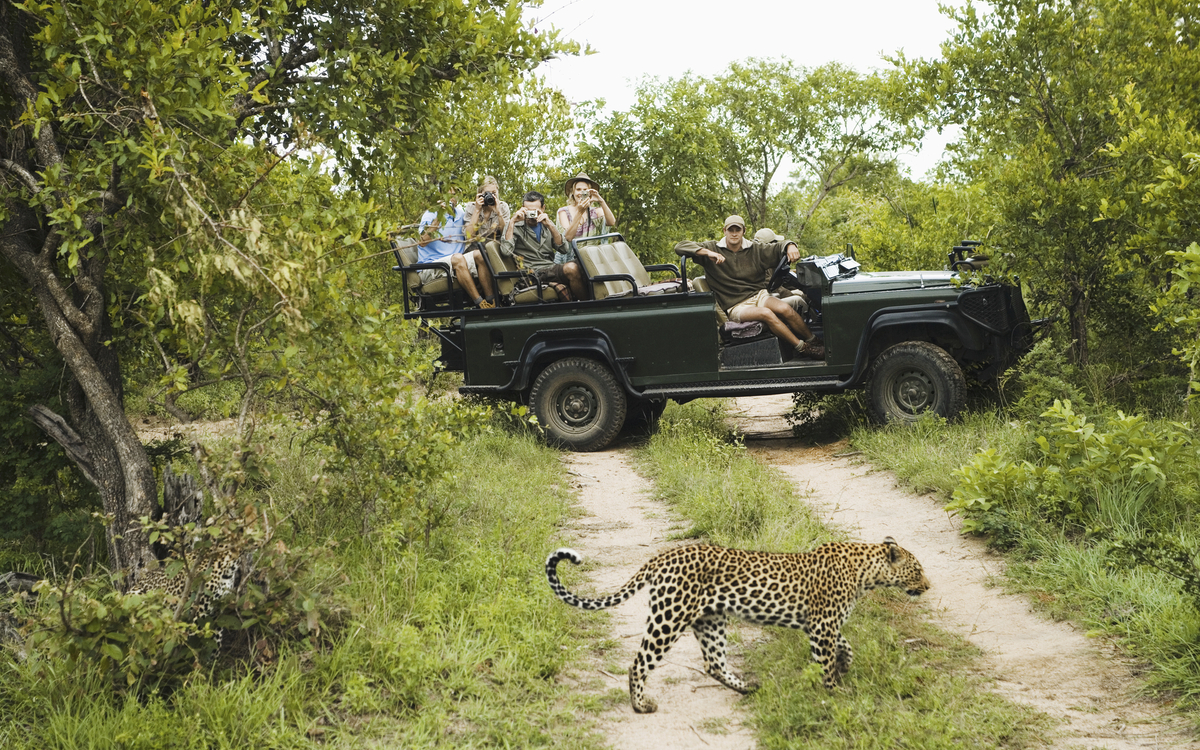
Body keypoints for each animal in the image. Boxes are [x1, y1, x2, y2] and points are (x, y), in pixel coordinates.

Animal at [546, 537, 930, 713]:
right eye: (918, 570)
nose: (927, 586)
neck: (866, 573)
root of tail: (661, 557)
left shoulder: (820, 625)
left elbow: (845, 644)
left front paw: (845, 663)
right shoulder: (822, 626)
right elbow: (827, 662)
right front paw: (836, 693)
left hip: (710, 620)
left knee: (713, 663)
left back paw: (747, 687)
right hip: (669, 617)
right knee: (639, 663)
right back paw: (641, 705)